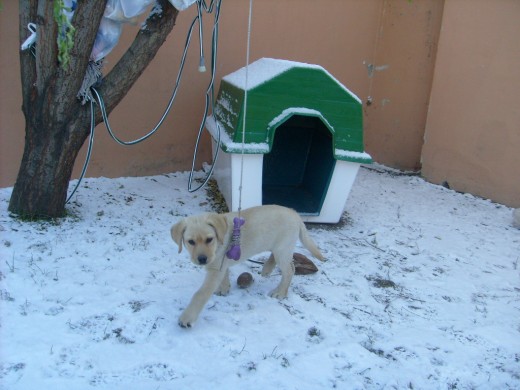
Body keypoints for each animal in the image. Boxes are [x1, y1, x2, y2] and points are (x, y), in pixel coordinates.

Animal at [171, 206, 324, 328]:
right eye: (191, 242)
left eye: (209, 239)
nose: (202, 259)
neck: (219, 242)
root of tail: (295, 214)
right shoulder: (221, 264)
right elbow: (224, 275)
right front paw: (224, 289)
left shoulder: (215, 268)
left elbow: (200, 294)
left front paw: (187, 317)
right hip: (278, 247)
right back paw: (267, 268)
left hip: (283, 248)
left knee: (290, 270)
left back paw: (280, 292)